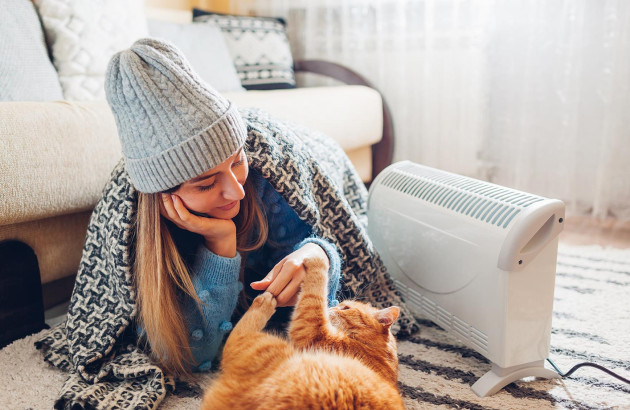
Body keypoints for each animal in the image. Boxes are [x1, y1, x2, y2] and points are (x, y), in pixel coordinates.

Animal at [202, 255, 404, 408]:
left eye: (345, 308)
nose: (331, 306)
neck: (372, 350)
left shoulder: (312, 327)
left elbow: (316, 286)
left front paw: (317, 257)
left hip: (259, 347)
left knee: (237, 335)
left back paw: (265, 300)